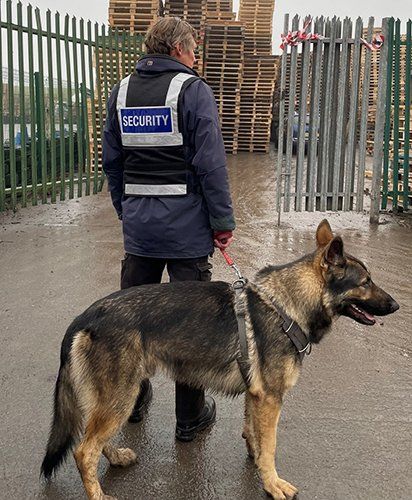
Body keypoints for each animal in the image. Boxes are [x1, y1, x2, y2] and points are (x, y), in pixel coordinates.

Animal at [41, 222, 400, 500]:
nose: (396, 305)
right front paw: (272, 483)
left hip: (114, 397)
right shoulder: (271, 398)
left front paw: (258, 465)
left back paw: (116, 456)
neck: (287, 305)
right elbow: (271, 445)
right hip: (121, 396)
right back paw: (99, 493)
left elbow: (254, 435)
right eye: (365, 282)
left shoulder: (257, 395)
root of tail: (85, 316)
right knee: (83, 450)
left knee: (93, 440)